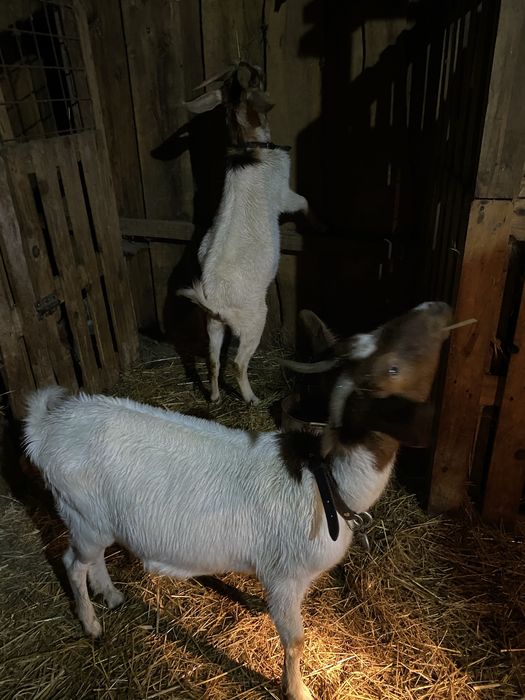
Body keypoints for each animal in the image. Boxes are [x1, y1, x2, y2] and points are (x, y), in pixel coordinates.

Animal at [23, 301, 452, 700]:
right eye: (393, 368)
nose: (438, 308)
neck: (327, 485)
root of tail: (46, 429)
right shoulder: (285, 574)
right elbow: (295, 640)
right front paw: (298, 689)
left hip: (94, 520)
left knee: (91, 559)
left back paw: (111, 596)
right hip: (81, 511)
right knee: (72, 563)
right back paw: (91, 624)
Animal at [178, 62, 313, 404]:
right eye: (254, 83)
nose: (255, 68)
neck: (248, 146)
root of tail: (214, 302)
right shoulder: (284, 193)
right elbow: (304, 202)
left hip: (213, 325)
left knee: (213, 359)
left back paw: (214, 397)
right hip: (253, 319)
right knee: (238, 362)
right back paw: (252, 399)